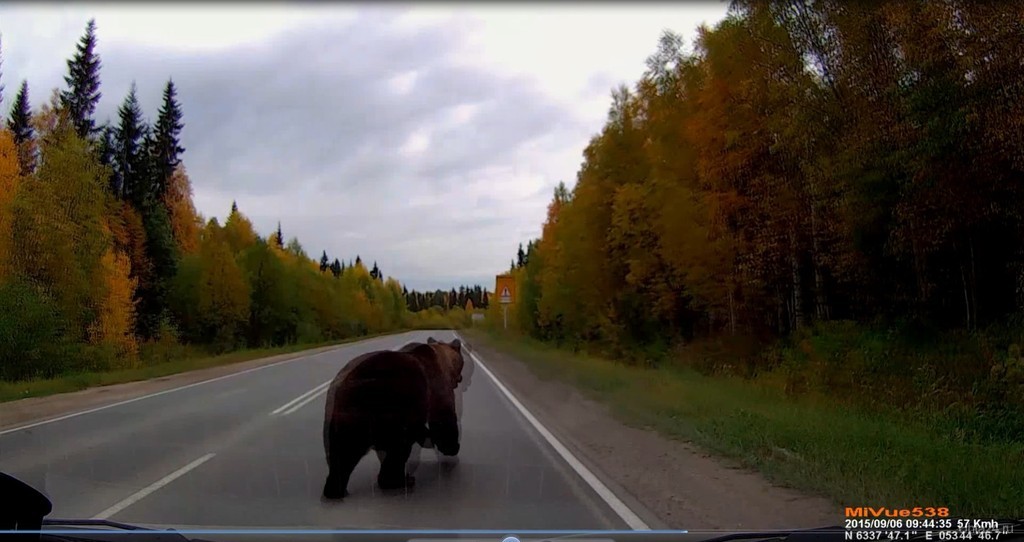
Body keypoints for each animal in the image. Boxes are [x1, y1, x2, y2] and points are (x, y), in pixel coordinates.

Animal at [319, 340, 464, 495]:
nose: (460, 378)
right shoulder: (437, 386)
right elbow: (444, 420)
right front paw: (452, 447)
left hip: (341, 417)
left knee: (342, 454)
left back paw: (335, 489)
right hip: (391, 404)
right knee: (399, 447)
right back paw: (401, 480)